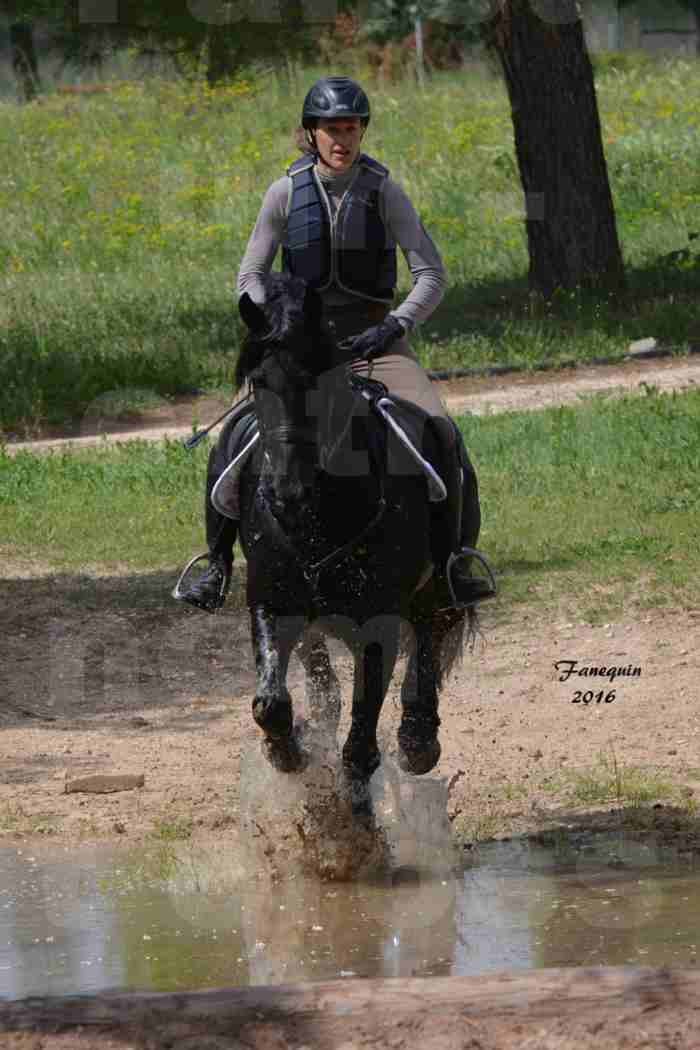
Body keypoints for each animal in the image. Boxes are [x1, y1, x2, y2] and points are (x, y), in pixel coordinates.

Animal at [235, 270, 470, 818]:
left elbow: (362, 739)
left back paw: (418, 738)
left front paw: (353, 826)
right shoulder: (271, 603)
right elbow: (271, 703)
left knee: (429, 638)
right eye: (258, 381)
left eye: (316, 382)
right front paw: (289, 752)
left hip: (438, 590)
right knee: (323, 676)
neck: (321, 514)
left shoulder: (378, 625)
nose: (286, 492)